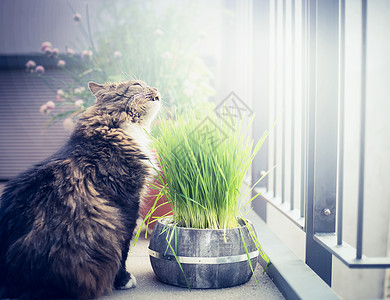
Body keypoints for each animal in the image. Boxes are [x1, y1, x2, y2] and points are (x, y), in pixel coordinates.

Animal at [0, 78, 161, 298]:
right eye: (138, 84)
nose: (156, 88)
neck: (113, 126)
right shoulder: (127, 203)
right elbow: (123, 248)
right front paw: (123, 280)